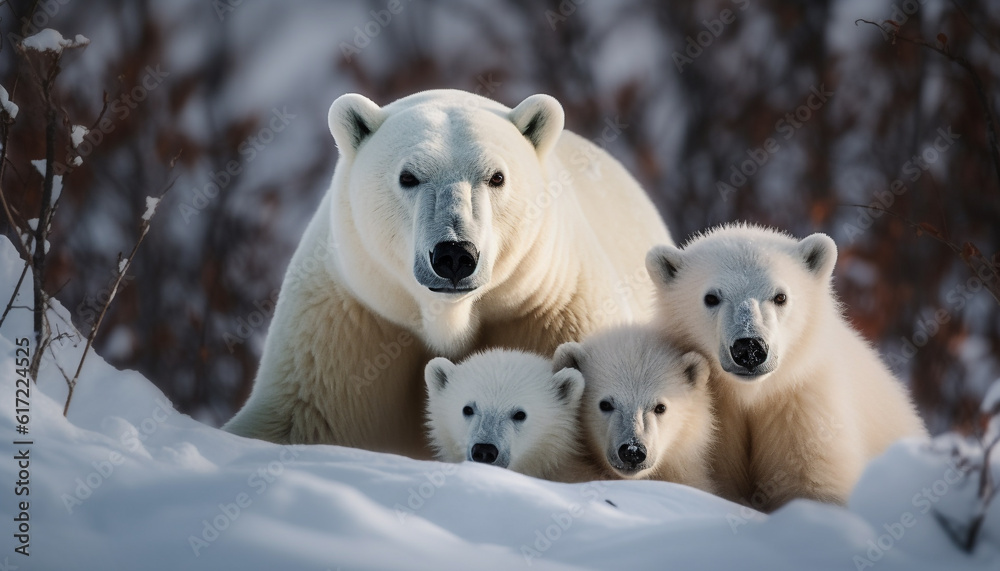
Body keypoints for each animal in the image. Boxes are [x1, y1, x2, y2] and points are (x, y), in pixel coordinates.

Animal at [225, 89, 672, 458]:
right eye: (408, 176)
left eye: (496, 177)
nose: (454, 254)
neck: (448, 318)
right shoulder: (349, 324)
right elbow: (298, 416)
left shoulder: (548, 313)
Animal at [644, 223, 924, 510]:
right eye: (711, 297)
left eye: (780, 296)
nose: (749, 348)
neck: (751, 394)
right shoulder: (716, 419)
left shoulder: (802, 410)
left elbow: (811, 482)